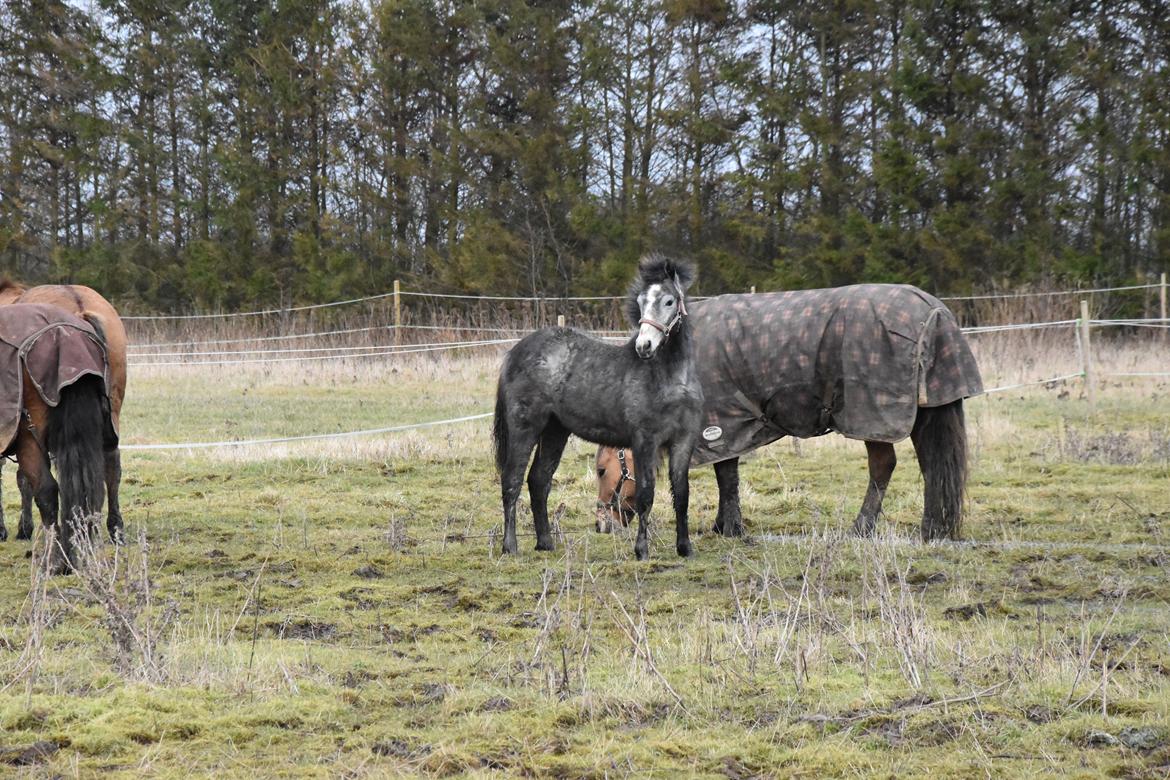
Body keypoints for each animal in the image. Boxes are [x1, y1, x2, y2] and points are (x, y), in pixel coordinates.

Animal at [493, 256, 702, 561]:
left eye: (669, 301)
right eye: (641, 301)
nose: (644, 346)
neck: (670, 378)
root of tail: (515, 352)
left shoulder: (683, 441)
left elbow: (683, 494)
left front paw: (685, 547)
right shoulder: (645, 441)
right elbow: (646, 494)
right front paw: (641, 550)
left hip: (555, 431)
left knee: (538, 481)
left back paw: (545, 542)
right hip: (525, 428)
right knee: (512, 480)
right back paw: (510, 547)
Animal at [594, 285, 978, 542]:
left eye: (601, 470)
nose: (600, 525)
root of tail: (934, 315)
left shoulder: (720, 425)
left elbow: (726, 476)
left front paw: (729, 528)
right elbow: (728, 477)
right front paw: (723, 524)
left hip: (872, 417)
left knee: (884, 467)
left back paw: (862, 527)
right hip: (926, 412)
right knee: (932, 468)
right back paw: (932, 528)